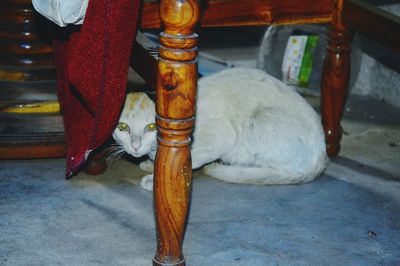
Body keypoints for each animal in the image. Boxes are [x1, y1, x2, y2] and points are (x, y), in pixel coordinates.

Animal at [111, 67, 328, 190]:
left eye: (150, 127)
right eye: (123, 127)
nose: (136, 146)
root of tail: (322, 157)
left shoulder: (221, 138)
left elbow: (188, 160)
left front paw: (157, 177)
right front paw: (152, 163)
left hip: (258, 122)